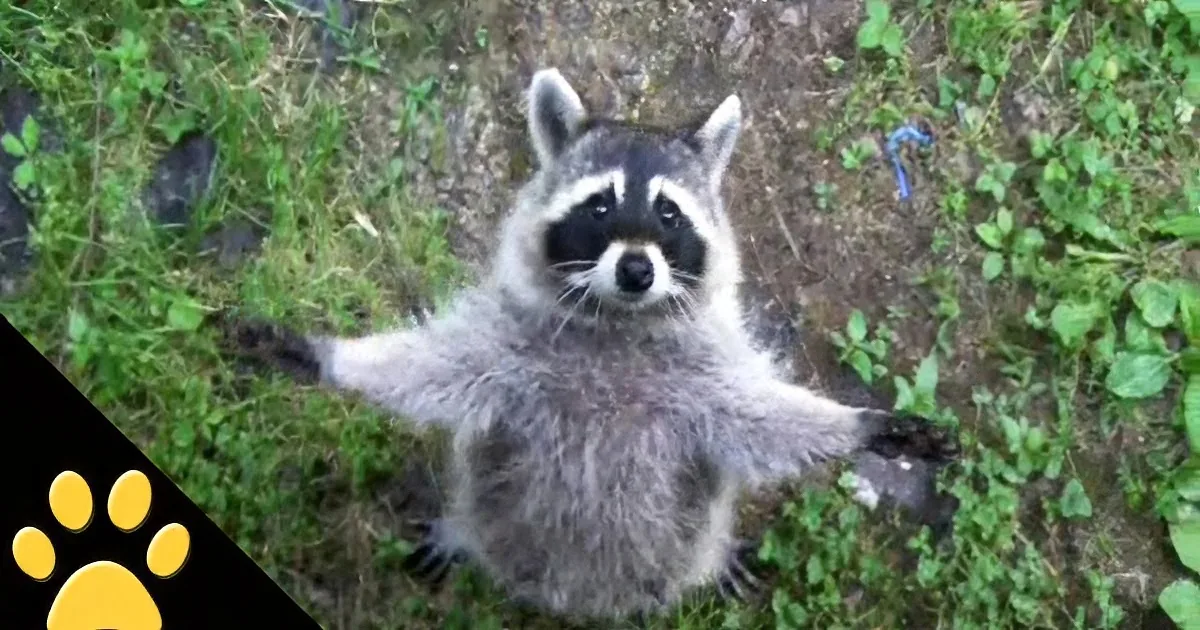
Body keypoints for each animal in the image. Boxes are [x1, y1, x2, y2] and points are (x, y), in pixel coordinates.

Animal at [224, 68, 958, 623]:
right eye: (601, 206)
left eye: (668, 213)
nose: (636, 269)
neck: (617, 325)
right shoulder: (508, 346)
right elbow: (435, 368)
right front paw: (331, 357)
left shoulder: (704, 373)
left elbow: (759, 418)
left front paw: (859, 425)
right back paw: (462, 530)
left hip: (681, 541)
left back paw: (711, 559)